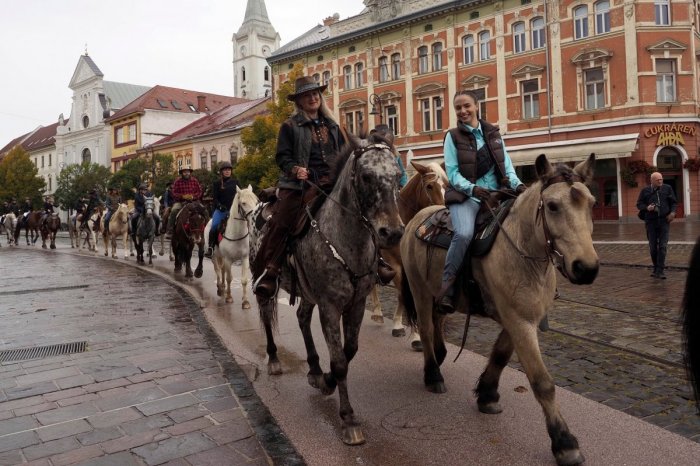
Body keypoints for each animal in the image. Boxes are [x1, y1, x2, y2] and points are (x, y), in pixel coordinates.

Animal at [252, 134, 404, 444]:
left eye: (397, 176)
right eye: (366, 176)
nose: (392, 233)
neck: (347, 241)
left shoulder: (356, 304)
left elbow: (349, 351)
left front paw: (325, 380)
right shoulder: (330, 306)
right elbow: (340, 361)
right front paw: (348, 419)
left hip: (309, 293)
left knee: (301, 318)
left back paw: (313, 368)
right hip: (266, 280)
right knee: (265, 314)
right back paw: (274, 358)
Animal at [364, 159, 446, 346]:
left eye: (447, 184)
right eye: (429, 186)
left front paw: (413, 333)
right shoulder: (395, 264)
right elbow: (404, 295)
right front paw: (403, 329)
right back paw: (377, 312)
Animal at [402, 155, 600, 464]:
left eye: (591, 203)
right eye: (553, 206)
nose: (586, 268)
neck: (523, 250)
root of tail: (417, 219)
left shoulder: (521, 319)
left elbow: (499, 356)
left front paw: (487, 394)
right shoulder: (519, 321)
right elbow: (542, 382)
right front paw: (564, 441)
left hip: (437, 293)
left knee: (437, 320)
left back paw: (441, 354)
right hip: (418, 290)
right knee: (424, 327)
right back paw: (433, 374)